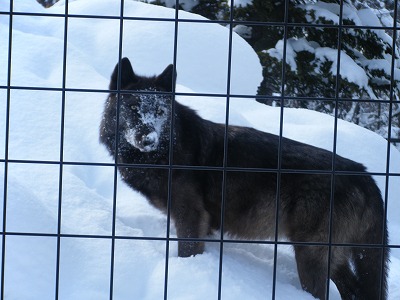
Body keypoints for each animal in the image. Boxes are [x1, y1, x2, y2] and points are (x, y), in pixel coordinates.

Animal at [101, 57, 390, 298]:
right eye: (133, 107)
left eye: (160, 112)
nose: (148, 138)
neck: (168, 151)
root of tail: (364, 175)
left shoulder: (191, 216)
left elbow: (187, 252)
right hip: (335, 259)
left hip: (309, 254)